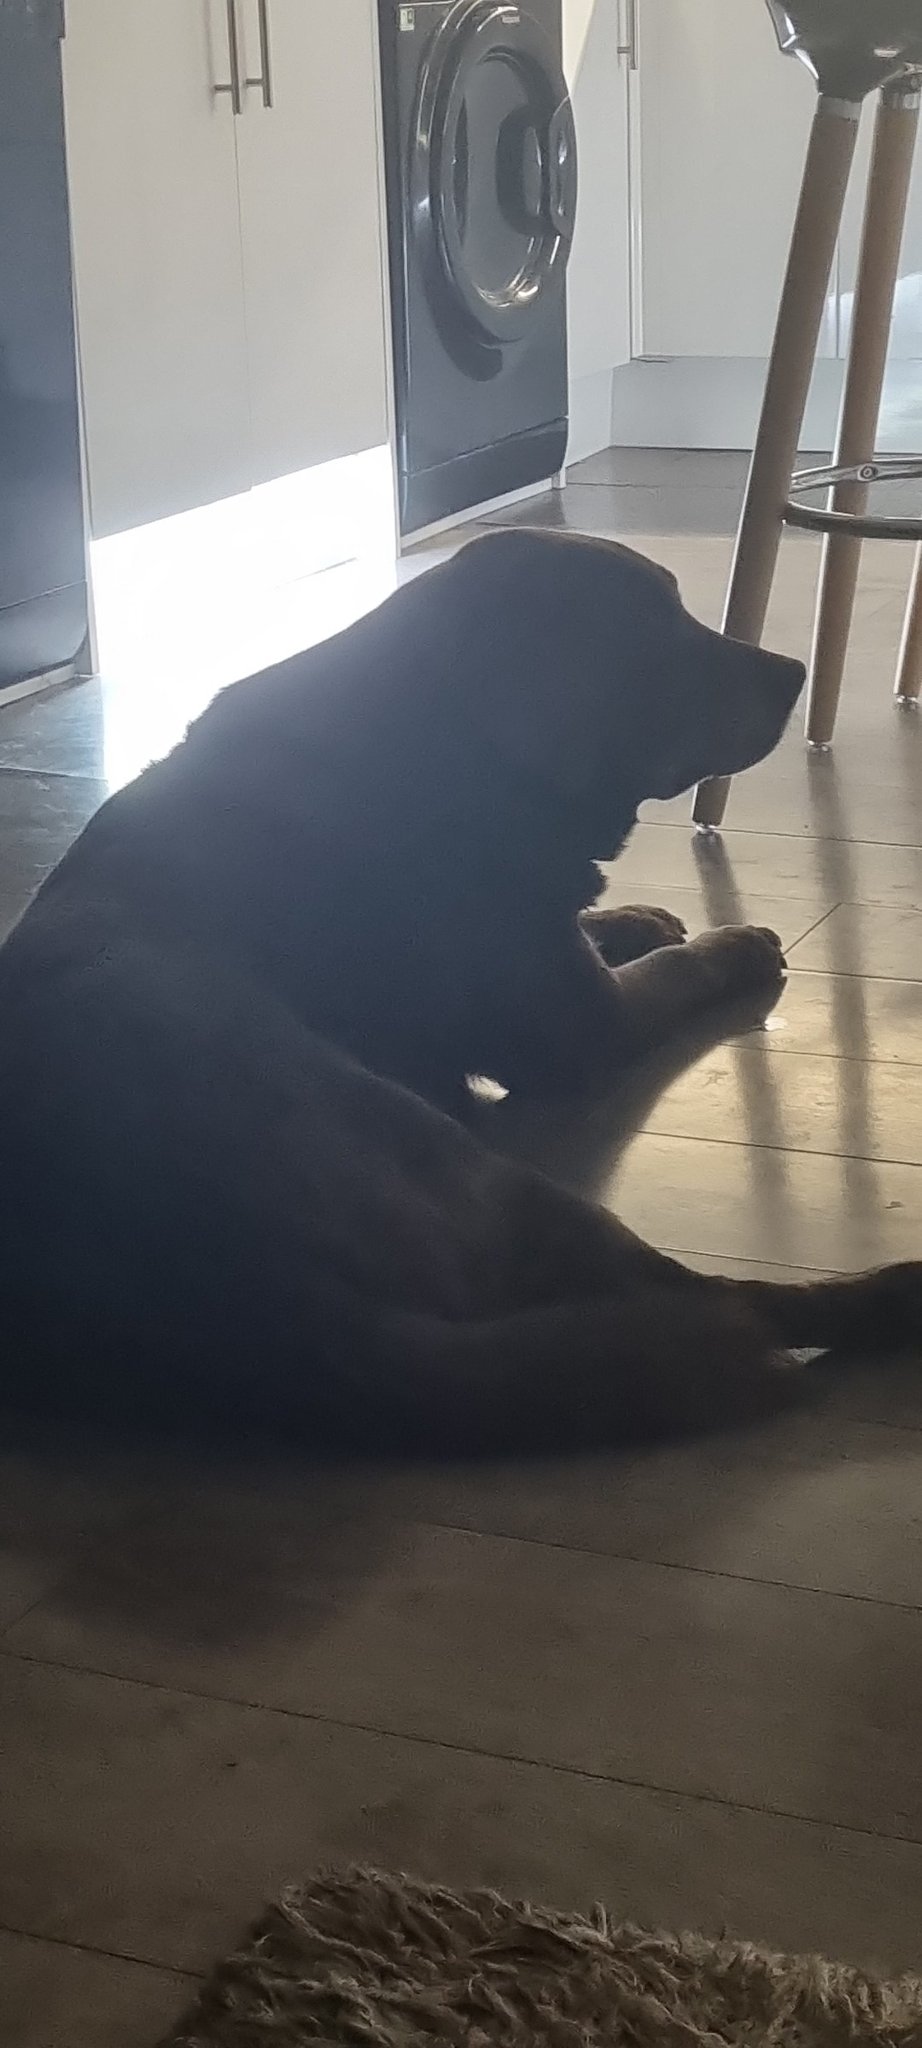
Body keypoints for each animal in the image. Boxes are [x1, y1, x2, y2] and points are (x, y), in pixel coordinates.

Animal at [0, 527, 918, 1450]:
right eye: (657, 631)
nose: (794, 671)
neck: (445, 742)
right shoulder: (588, 1023)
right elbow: (674, 971)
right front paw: (734, 943)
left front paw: (641, 916)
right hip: (486, 1180)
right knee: (736, 1300)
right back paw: (890, 1293)